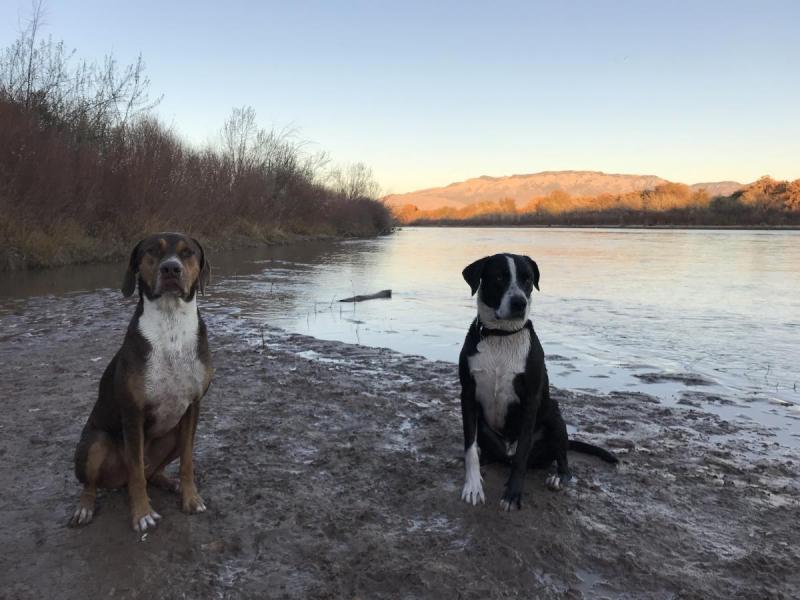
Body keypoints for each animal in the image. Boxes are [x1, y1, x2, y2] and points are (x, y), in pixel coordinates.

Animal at [70, 232, 212, 532]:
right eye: (151, 251)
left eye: (188, 252)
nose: (171, 269)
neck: (171, 325)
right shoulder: (133, 412)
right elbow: (135, 470)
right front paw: (142, 514)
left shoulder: (193, 406)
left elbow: (188, 462)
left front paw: (190, 498)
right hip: (95, 442)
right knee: (94, 482)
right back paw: (85, 508)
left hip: (172, 434)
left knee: (153, 471)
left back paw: (167, 482)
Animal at [456, 253, 620, 510]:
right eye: (499, 277)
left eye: (528, 279)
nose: (519, 303)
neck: (501, 337)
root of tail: (505, 453)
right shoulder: (468, 395)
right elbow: (470, 448)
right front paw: (473, 486)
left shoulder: (531, 399)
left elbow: (522, 453)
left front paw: (512, 494)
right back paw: (487, 459)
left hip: (554, 414)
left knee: (560, 460)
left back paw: (558, 477)